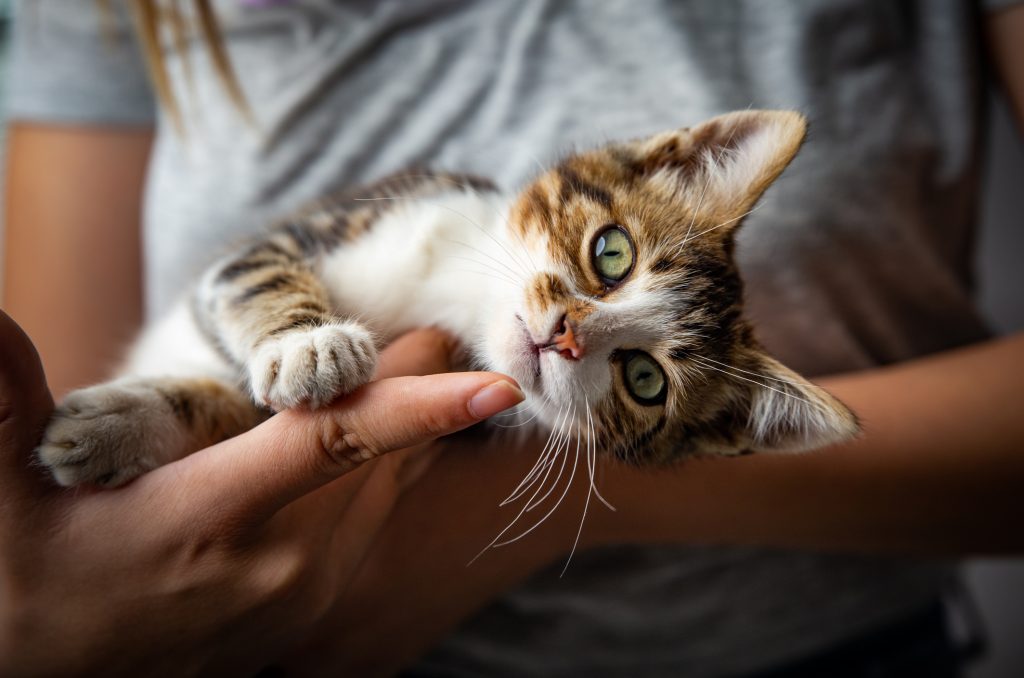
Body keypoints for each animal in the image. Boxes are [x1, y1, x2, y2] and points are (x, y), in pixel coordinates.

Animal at [37, 109, 856, 489]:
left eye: (645, 380)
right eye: (612, 254)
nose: (564, 335)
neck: (455, 294)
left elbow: (235, 407)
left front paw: (117, 428)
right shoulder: (320, 226)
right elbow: (256, 274)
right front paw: (307, 343)